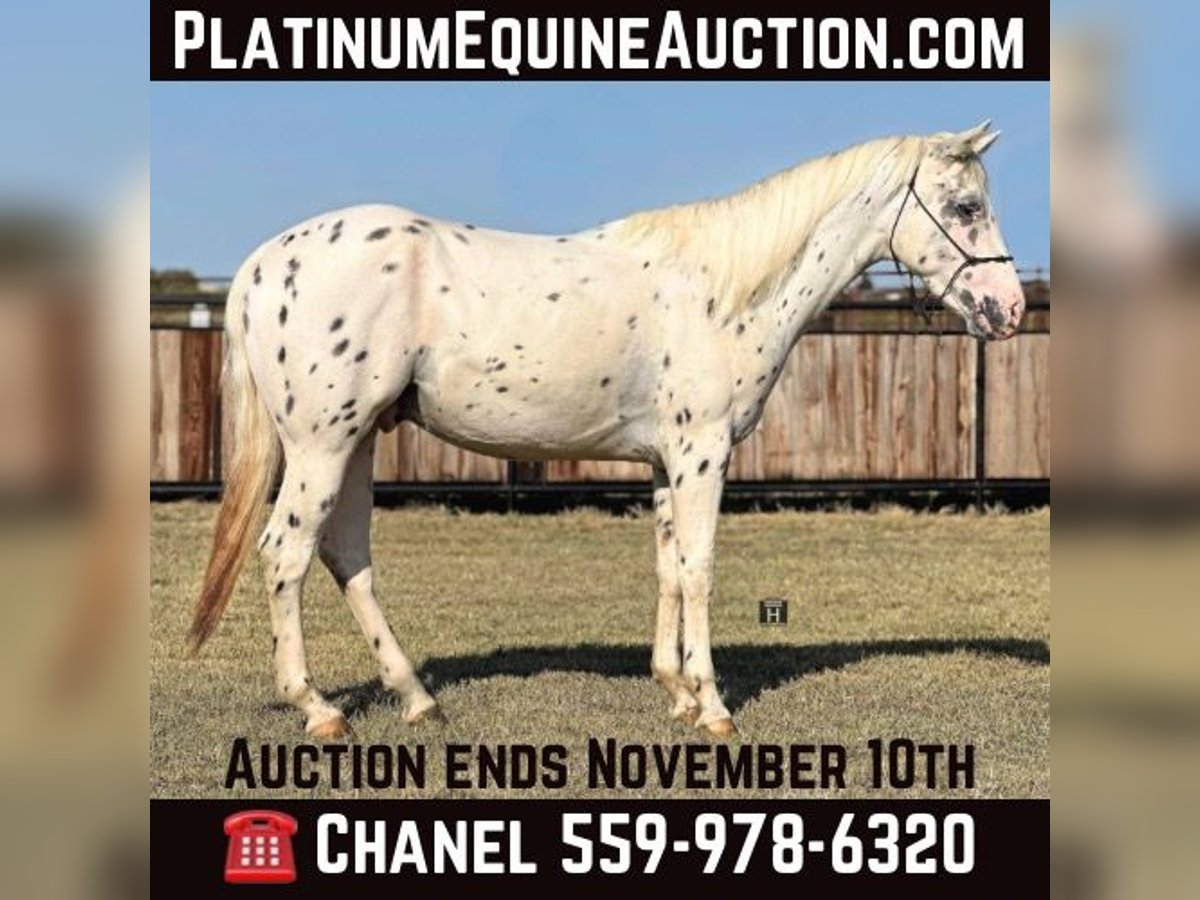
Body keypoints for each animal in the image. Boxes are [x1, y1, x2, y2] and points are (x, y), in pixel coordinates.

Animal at [190, 121, 1025, 740]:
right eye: (964, 208)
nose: (1008, 308)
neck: (724, 290)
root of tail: (264, 265)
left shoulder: (666, 462)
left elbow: (666, 567)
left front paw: (676, 692)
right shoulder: (703, 454)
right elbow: (699, 568)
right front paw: (713, 709)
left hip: (357, 440)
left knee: (347, 555)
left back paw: (418, 699)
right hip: (322, 445)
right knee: (286, 553)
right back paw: (319, 709)